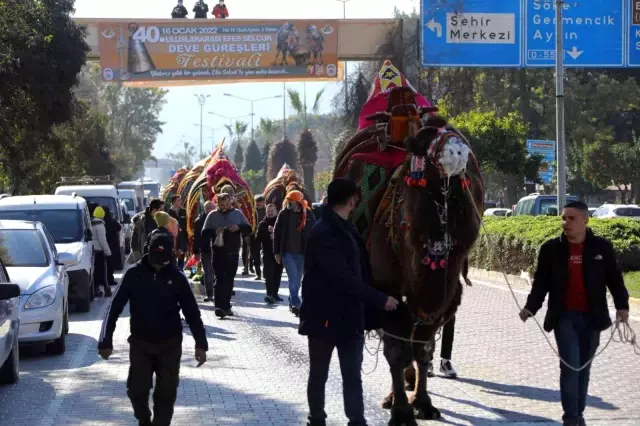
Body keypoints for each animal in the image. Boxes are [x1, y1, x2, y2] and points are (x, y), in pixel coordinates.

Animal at [336, 60, 484, 426]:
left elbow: (424, 346)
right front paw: (402, 410)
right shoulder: (386, 285)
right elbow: (396, 348)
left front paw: (424, 403)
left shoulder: (446, 294)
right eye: (425, 146)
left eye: (451, 132)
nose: (457, 150)